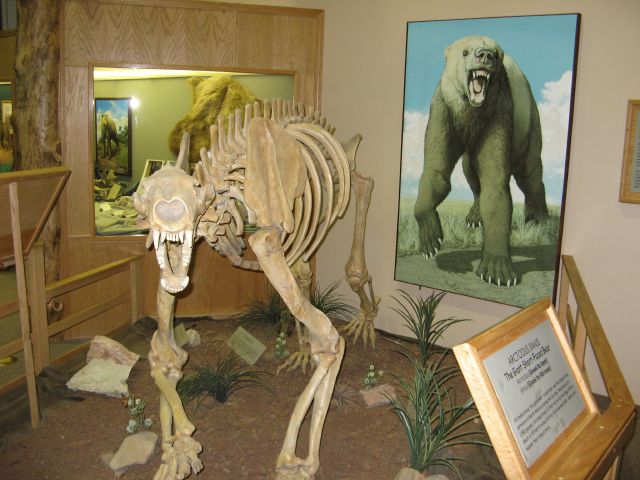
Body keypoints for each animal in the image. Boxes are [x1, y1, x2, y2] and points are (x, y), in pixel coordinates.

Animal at [416, 36, 552, 288]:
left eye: (496, 53)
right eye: (465, 51)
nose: (485, 55)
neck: (471, 115)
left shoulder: (497, 115)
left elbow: (495, 188)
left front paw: (497, 271)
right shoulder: (444, 109)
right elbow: (436, 172)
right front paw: (431, 240)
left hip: (528, 124)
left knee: (530, 174)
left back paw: (537, 218)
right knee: (470, 169)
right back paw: (474, 217)